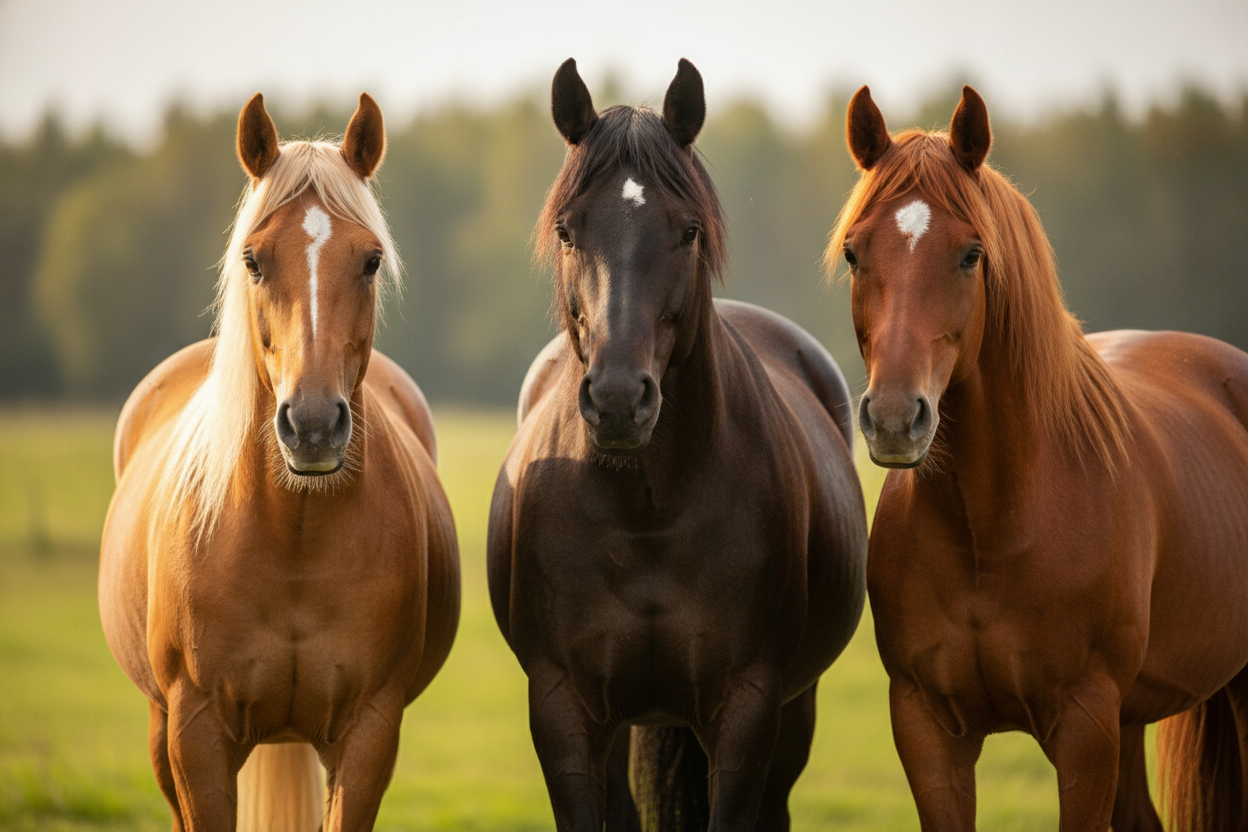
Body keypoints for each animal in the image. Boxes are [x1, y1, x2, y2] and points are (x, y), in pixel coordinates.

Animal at [98, 93, 460, 832]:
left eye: (371, 260)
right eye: (254, 260)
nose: (313, 425)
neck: (292, 540)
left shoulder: (369, 733)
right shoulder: (196, 735)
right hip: (159, 728)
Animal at [487, 58, 868, 832]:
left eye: (688, 230)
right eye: (568, 231)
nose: (617, 400)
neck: (647, 515)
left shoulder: (749, 710)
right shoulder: (563, 708)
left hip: (795, 711)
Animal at [832, 84, 1248, 831]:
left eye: (971, 254)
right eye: (854, 253)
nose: (894, 420)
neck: (993, 529)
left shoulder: (1085, 729)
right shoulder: (927, 730)